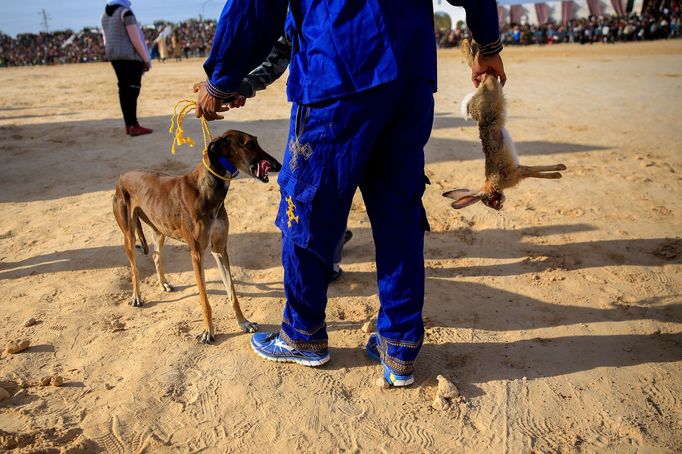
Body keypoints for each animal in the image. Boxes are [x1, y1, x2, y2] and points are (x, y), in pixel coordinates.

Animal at [113, 131, 280, 344]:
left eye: (256, 141)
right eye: (249, 144)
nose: (278, 165)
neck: (207, 188)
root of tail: (123, 176)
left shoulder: (219, 249)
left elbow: (232, 293)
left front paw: (243, 322)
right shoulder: (196, 254)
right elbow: (204, 299)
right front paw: (208, 331)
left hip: (159, 229)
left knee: (156, 256)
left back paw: (164, 283)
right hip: (129, 233)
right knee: (134, 268)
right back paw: (137, 296)